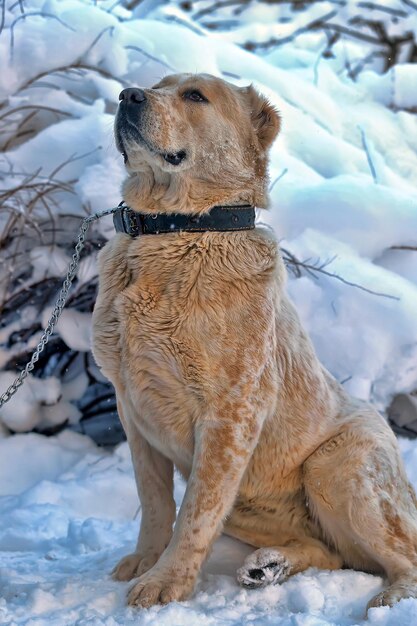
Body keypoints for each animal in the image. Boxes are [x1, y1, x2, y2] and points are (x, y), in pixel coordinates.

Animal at [92, 72, 416, 608]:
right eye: (158, 84)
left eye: (195, 96)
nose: (127, 95)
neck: (175, 231)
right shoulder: (132, 407)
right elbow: (155, 501)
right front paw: (144, 560)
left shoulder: (230, 414)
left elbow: (194, 512)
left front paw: (165, 582)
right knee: (329, 551)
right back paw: (267, 566)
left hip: (337, 465)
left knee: (403, 553)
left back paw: (387, 599)